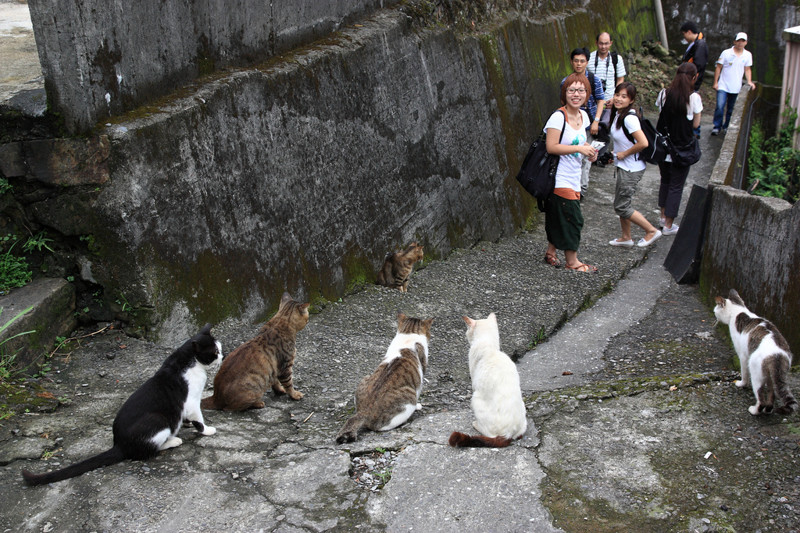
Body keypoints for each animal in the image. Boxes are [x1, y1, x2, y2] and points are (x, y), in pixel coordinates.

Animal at [22, 322, 222, 484]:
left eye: (219, 349)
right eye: (214, 352)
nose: (222, 356)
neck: (186, 360)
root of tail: (118, 444)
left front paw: (188, 424)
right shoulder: (191, 402)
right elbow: (198, 419)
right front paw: (207, 430)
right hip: (158, 420)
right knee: (145, 451)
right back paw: (173, 441)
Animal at [716, 286, 796, 416]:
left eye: (715, 310)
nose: (715, 316)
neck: (738, 311)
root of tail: (777, 356)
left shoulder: (743, 356)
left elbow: (744, 373)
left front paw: (742, 383)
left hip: (756, 372)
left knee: (761, 397)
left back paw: (754, 410)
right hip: (771, 377)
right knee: (771, 394)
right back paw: (768, 410)